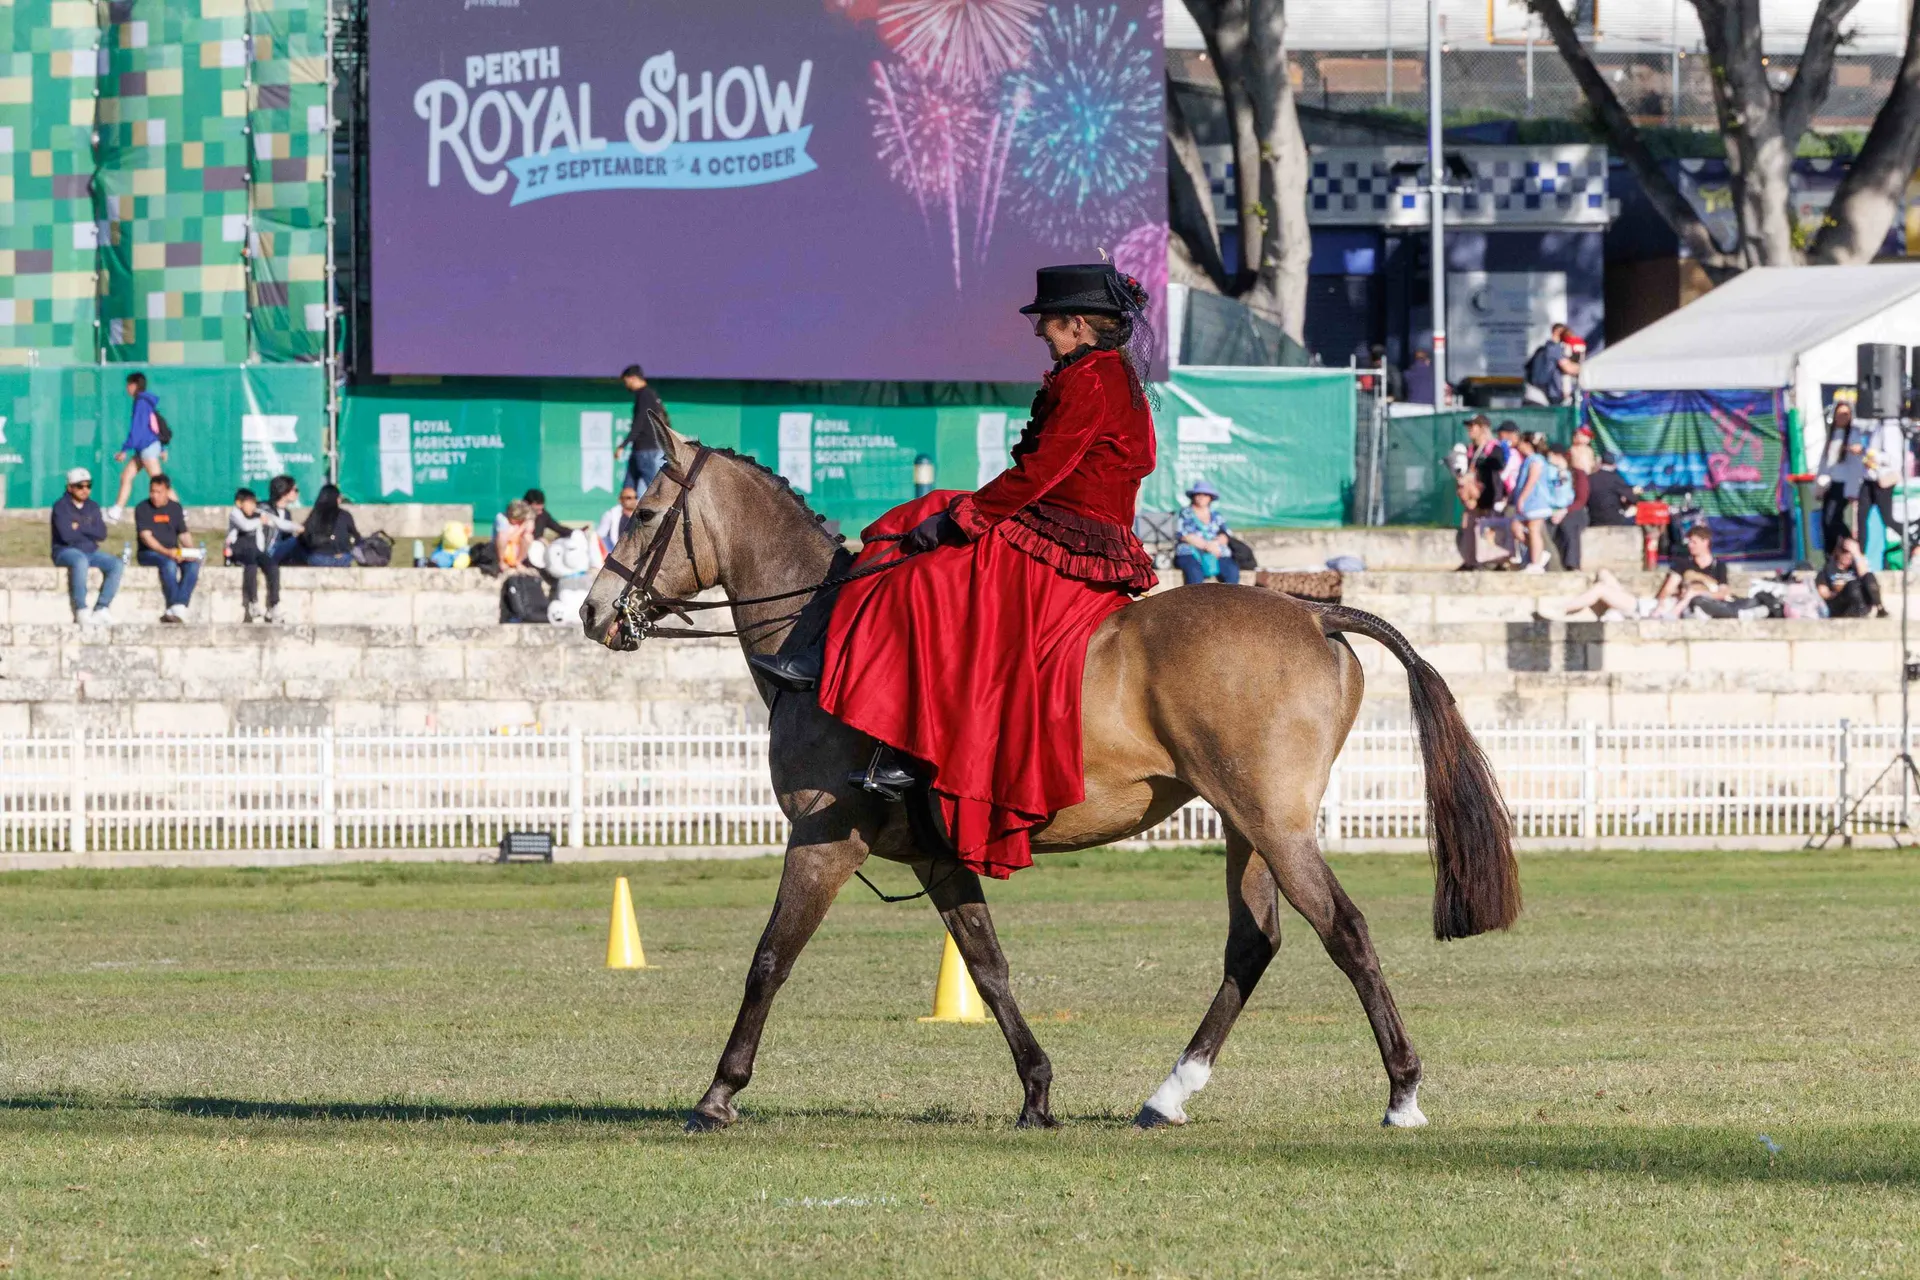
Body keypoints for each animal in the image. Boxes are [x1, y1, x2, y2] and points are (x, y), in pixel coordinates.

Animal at [580, 424, 1520, 1133]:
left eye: (646, 513)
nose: (592, 613)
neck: (819, 639)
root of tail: (1313, 610)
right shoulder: (937, 854)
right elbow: (987, 965)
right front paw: (1036, 1092)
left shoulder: (824, 840)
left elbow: (770, 958)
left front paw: (718, 1093)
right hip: (1244, 826)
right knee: (1255, 943)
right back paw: (1168, 1094)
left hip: (1274, 823)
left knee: (1345, 931)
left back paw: (1401, 1091)